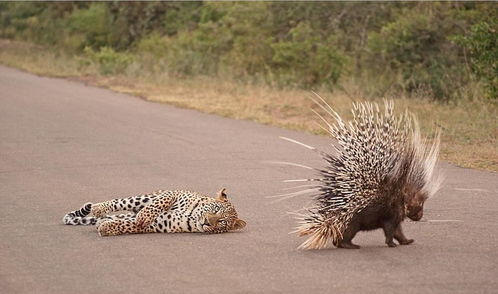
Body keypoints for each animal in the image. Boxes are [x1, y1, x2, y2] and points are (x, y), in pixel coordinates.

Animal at [63, 188, 246, 237]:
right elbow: (158, 204)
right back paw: (98, 208)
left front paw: (107, 228)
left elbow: (130, 225)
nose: (207, 222)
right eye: (215, 209)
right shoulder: (174, 192)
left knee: (124, 216)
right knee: (121, 202)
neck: (193, 216)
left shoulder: (161, 224)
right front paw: (144, 216)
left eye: (222, 222)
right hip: (143, 198)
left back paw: (103, 221)